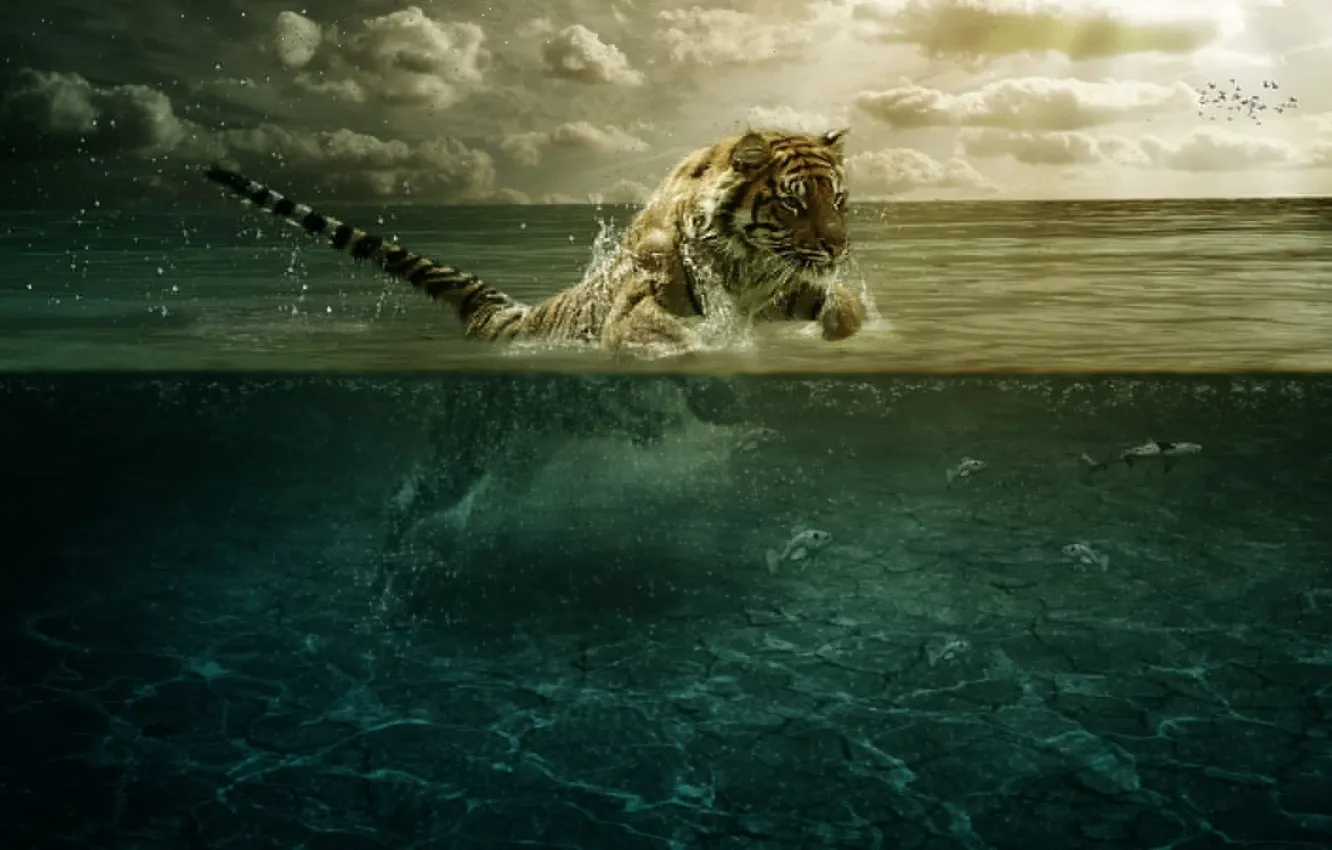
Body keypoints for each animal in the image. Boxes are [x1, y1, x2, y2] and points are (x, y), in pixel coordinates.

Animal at [202, 126, 868, 359]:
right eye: (793, 203)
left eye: (838, 200)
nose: (838, 248)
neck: (747, 266)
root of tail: (502, 314)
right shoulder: (640, 303)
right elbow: (667, 335)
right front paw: (703, 351)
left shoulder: (781, 289)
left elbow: (844, 309)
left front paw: (842, 329)